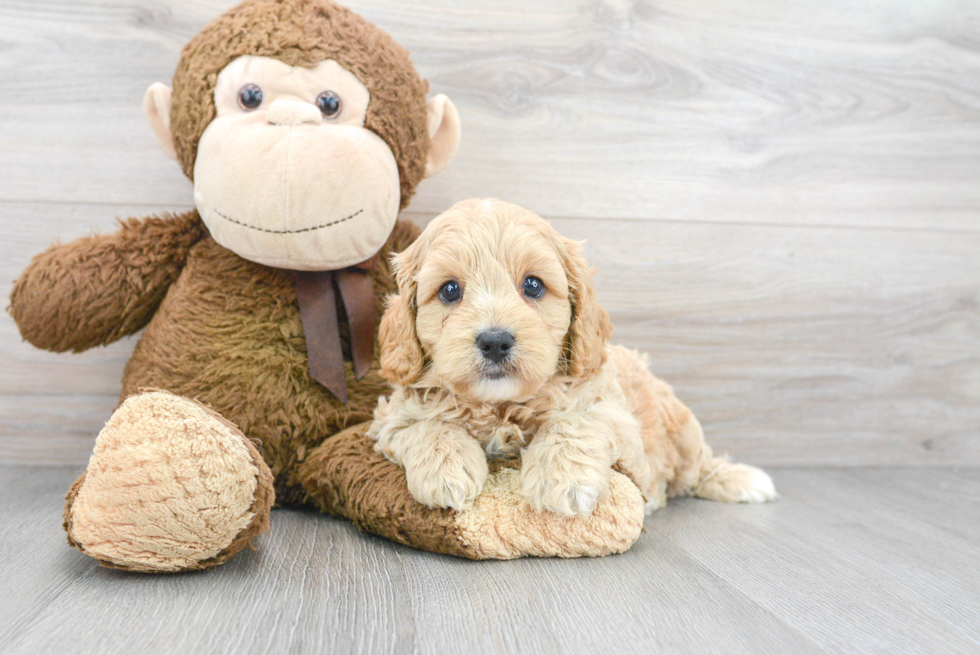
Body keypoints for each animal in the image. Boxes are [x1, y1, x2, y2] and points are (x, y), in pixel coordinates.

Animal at [368, 200, 772, 516]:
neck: (501, 407)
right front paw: (446, 472)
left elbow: (574, 421)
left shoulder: (609, 409)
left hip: (683, 429)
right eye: (450, 290)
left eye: (533, 285)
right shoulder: (391, 417)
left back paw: (743, 480)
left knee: (699, 467)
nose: (495, 341)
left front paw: (564, 481)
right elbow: (427, 425)